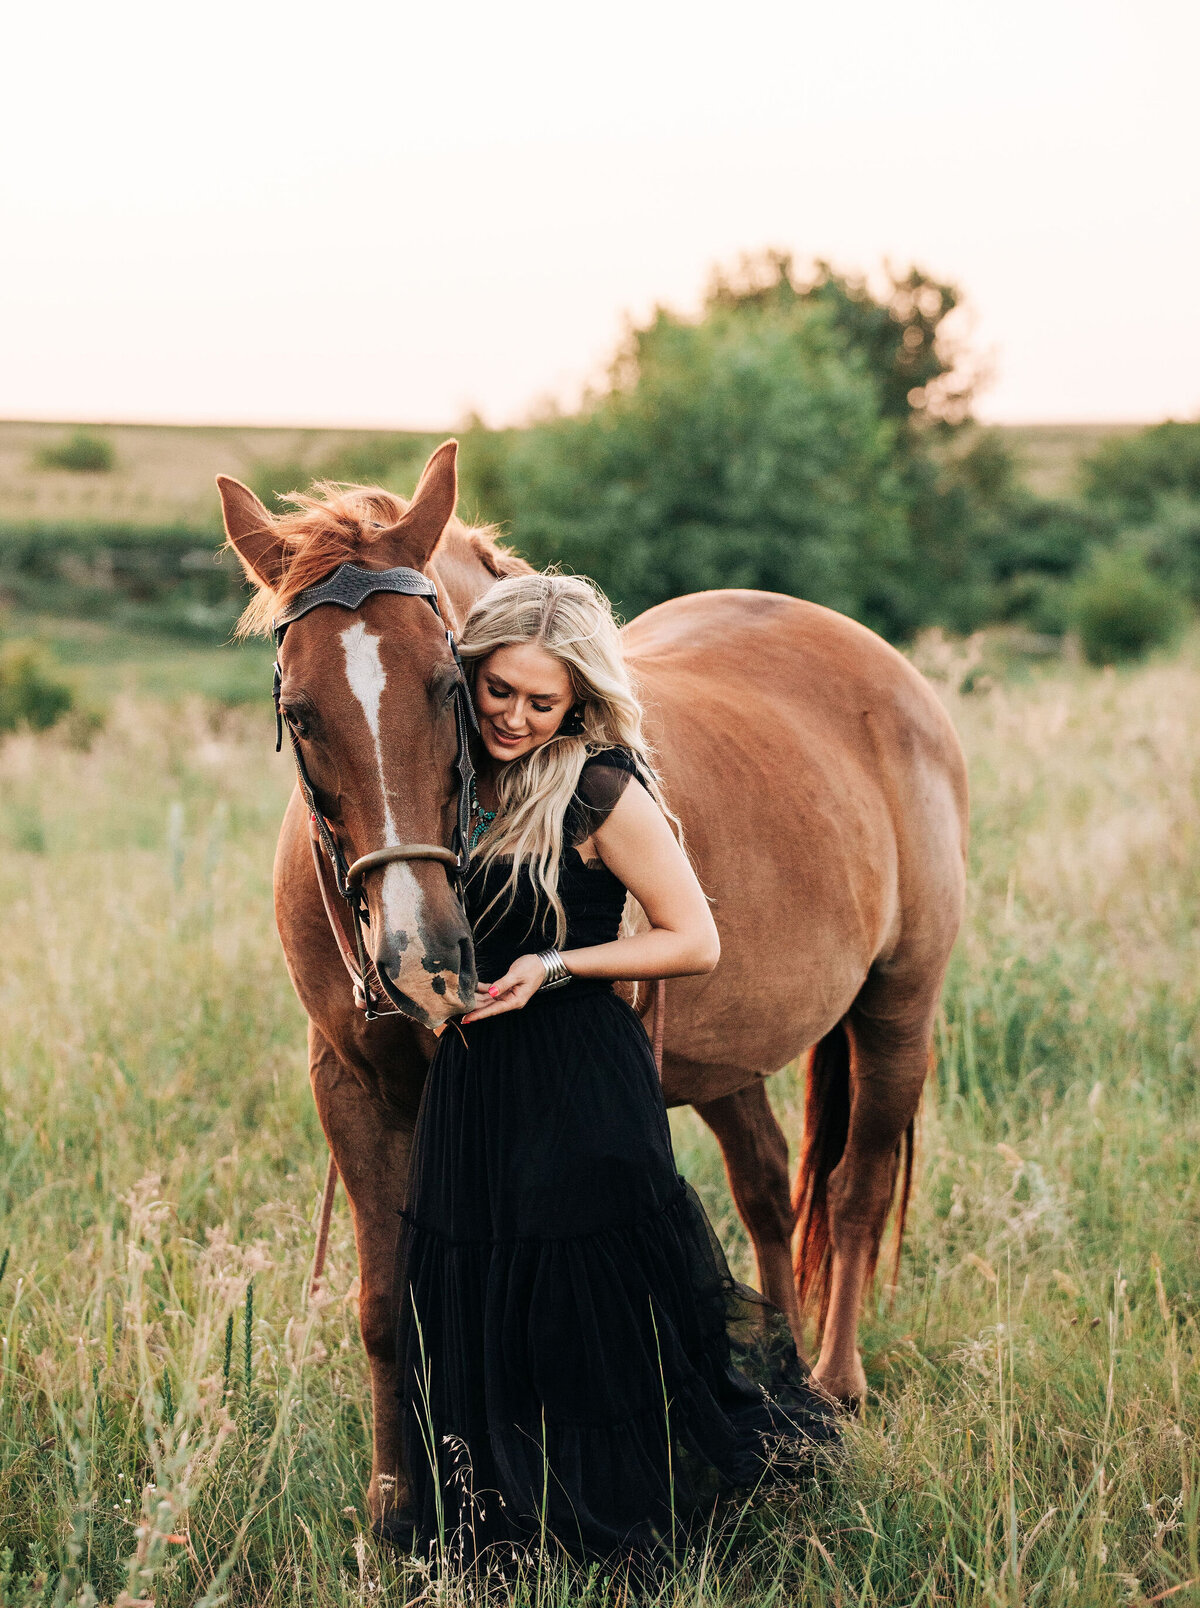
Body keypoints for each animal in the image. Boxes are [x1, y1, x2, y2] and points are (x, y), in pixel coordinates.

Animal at [215, 437, 965, 1530]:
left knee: (856, 1190)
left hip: (898, 1009)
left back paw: (831, 1388)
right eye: (301, 713)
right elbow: (387, 1307)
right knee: (767, 1190)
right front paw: (400, 1514)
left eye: (448, 686)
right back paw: (777, 1377)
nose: (420, 958)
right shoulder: (353, 1089)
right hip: (728, 1060)